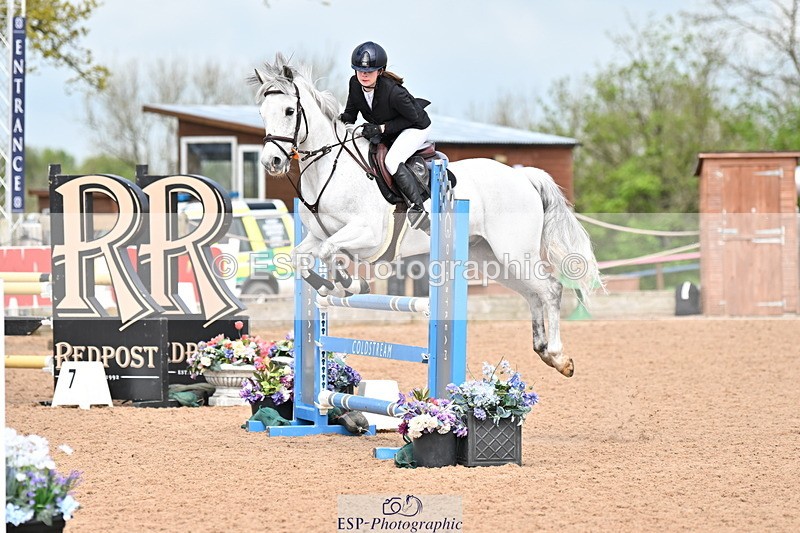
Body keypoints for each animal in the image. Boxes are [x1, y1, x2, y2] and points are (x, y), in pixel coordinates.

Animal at [251, 54, 601, 377]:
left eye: (289, 111)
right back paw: (544, 350)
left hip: (512, 250)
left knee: (550, 289)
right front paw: (328, 286)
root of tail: (522, 176)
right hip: (492, 258)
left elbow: (330, 251)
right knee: (533, 292)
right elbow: (299, 257)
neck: (331, 169)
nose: (271, 162)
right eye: (262, 112)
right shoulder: (317, 234)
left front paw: (349, 284)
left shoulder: (367, 235)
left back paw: (558, 356)